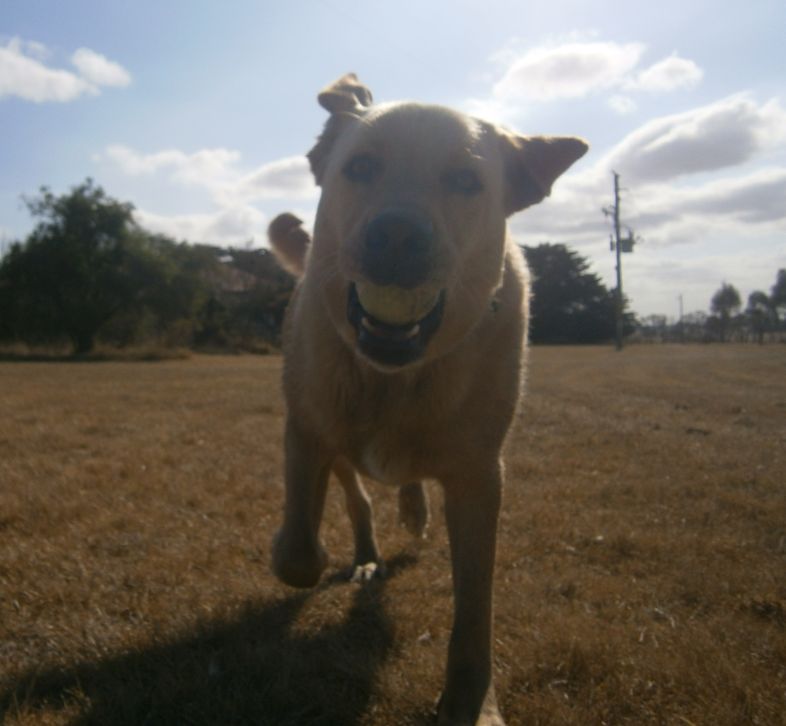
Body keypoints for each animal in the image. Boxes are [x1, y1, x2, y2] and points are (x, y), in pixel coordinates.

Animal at [266, 75, 584, 726]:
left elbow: (475, 611)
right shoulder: (306, 428)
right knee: (357, 497)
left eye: (465, 180)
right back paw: (367, 552)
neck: (398, 377)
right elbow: (299, 553)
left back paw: (413, 508)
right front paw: (302, 550)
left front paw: (472, 703)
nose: (397, 234)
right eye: (361, 167)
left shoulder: (480, 475)